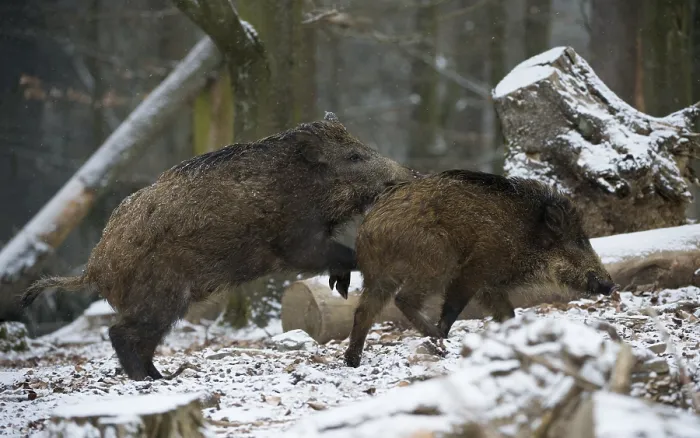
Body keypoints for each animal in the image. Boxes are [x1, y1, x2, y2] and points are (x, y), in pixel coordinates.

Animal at [22, 112, 418, 381]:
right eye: (353, 156)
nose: (410, 175)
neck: (302, 184)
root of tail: (93, 268)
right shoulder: (294, 241)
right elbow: (341, 253)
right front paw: (346, 284)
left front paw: (341, 288)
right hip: (160, 297)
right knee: (120, 333)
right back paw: (148, 380)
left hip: (164, 305)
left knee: (141, 340)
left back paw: (161, 377)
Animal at [344, 169, 616, 367]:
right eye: (580, 241)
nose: (611, 285)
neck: (526, 237)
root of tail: (372, 226)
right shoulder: (473, 272)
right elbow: (453, 308)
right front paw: (445, 336)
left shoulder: (490, 286)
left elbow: (507, 313)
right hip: (436, 261)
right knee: (403, 299)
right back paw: (437, 338)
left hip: (379, 275)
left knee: (364, 311)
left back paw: (352, 360)